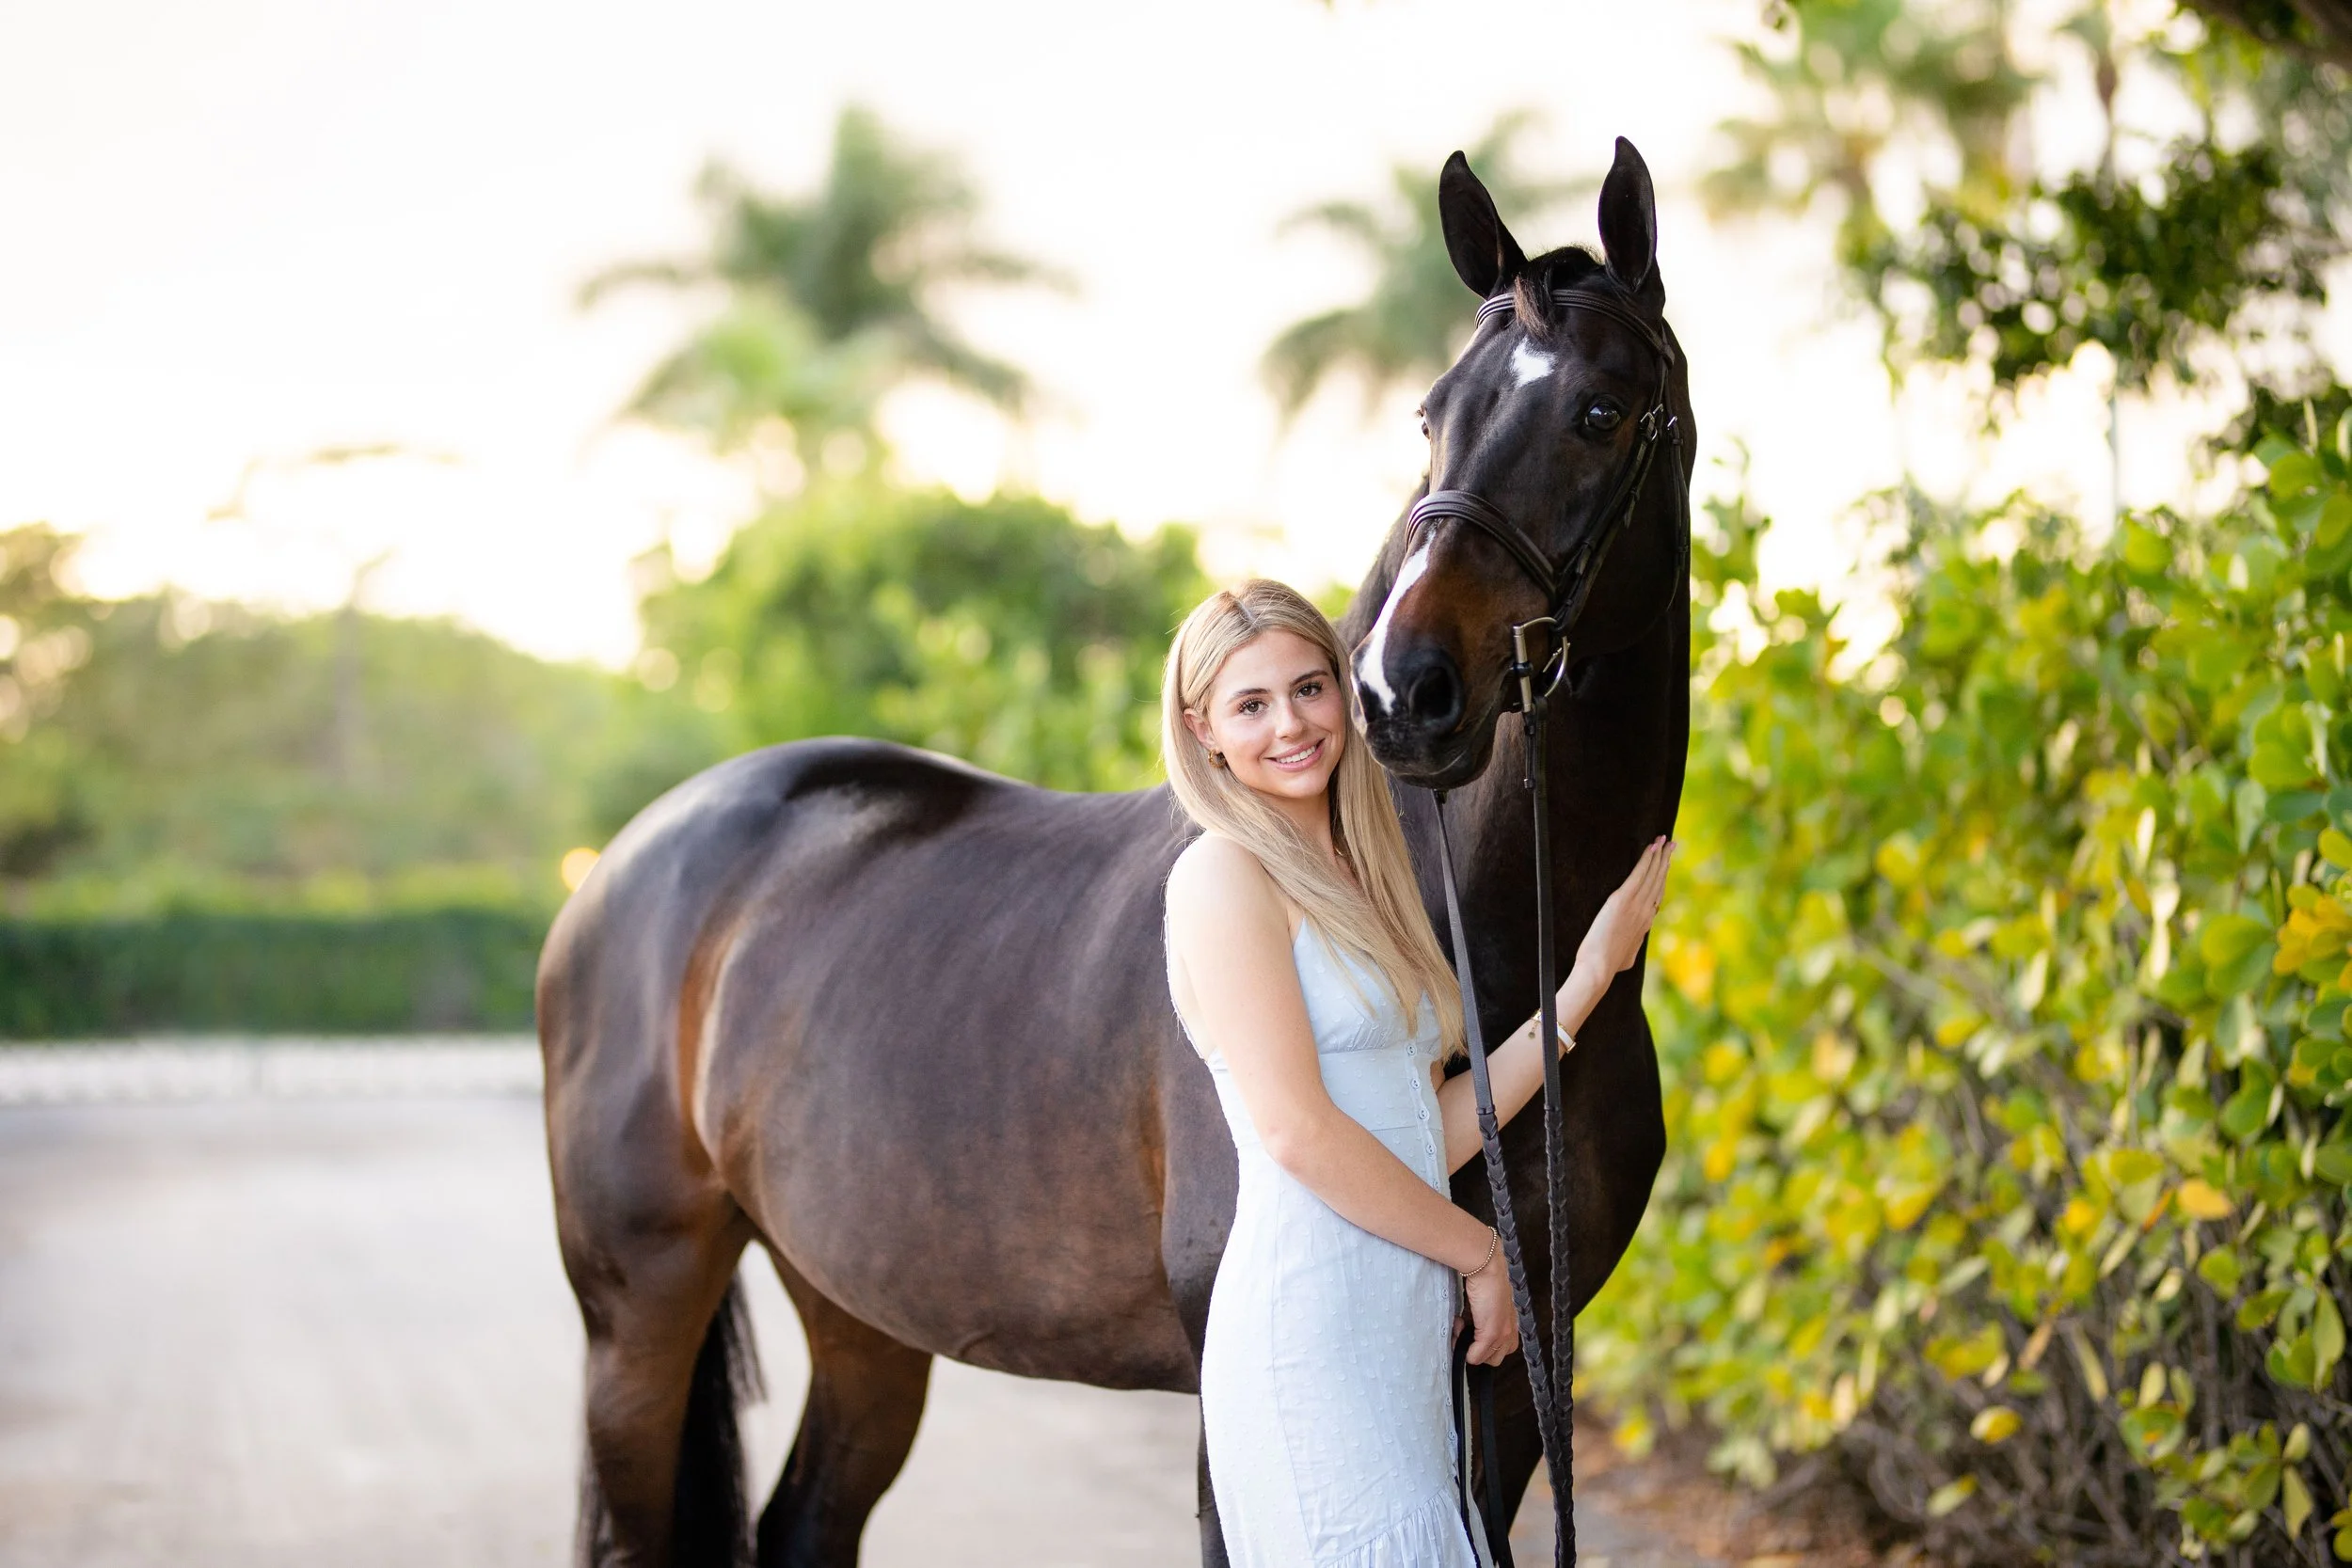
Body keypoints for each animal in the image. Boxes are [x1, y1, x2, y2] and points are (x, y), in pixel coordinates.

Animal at [539, 136, 1691, 1568]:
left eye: (1599, 411)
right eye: (1435, 414)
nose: (1400, 691)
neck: (1485, 941)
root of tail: (622, 865)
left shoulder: (1516, 1366)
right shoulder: (1229, 1385)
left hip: (857, 1304)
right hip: (639, 1308)